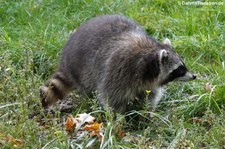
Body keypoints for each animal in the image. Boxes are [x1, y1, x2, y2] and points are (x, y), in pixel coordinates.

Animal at [39, 14, 196, 113]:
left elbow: (150, 95)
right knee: (89, 90)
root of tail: (65, 58)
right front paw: (118, 119)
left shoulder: (148, 82)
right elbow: (112, 98)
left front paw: (147, 111)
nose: (194, 76)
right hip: (82, 70)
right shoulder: (119, 70)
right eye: (179, 69)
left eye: (183, 65)